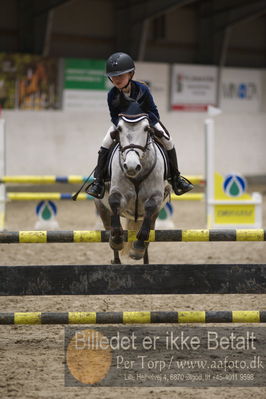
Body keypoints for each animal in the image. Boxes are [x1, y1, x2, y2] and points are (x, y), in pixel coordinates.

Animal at [94, 111, 171, 266]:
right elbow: (115, 202)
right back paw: (116, 259)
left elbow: (150, 206)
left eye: (146, 129)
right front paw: (117, 239)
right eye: (119, 129)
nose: (131, 166)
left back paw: (141, 253)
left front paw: (138, 247)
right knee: (109, 224)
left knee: (149, 227)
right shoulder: (119, 194)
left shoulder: (156, 197)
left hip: (154, 215)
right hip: (102, 208)